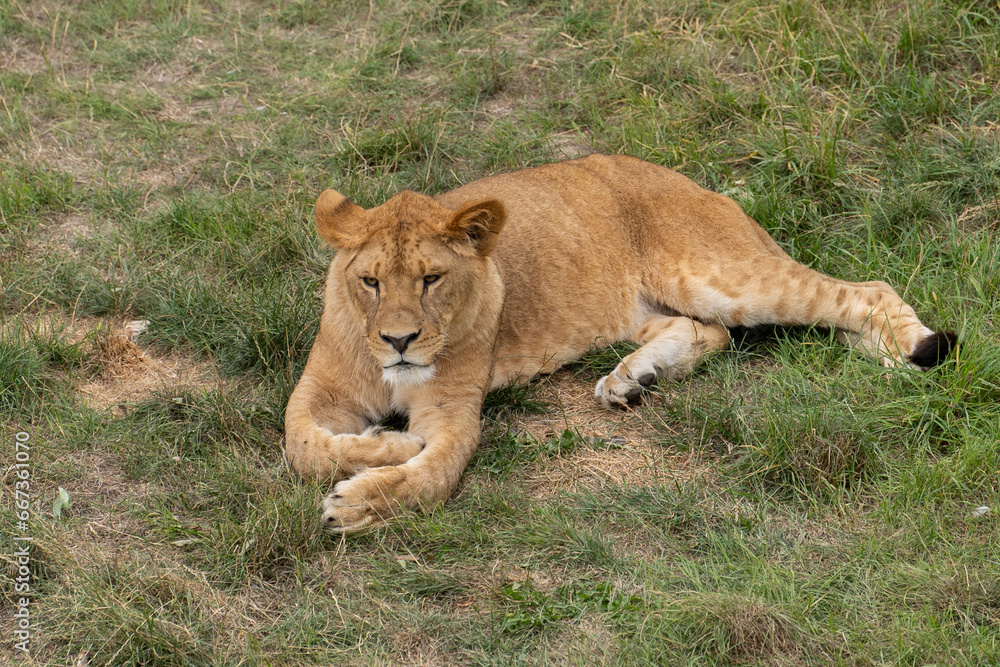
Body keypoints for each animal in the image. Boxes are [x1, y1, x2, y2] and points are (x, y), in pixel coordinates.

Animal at [283, 154, 955, 532]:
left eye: (431, 279)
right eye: (371, 282)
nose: (399, 340)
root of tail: (701, 187)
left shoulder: (454, 412)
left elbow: (431, 473)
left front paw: (361, 500)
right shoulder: (319, 388)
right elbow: (302, 443)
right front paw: (382, 442)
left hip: (723, 276)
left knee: (864, 290)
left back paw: (903, 357)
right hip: (650, 305)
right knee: (708, 331)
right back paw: (633, 379)